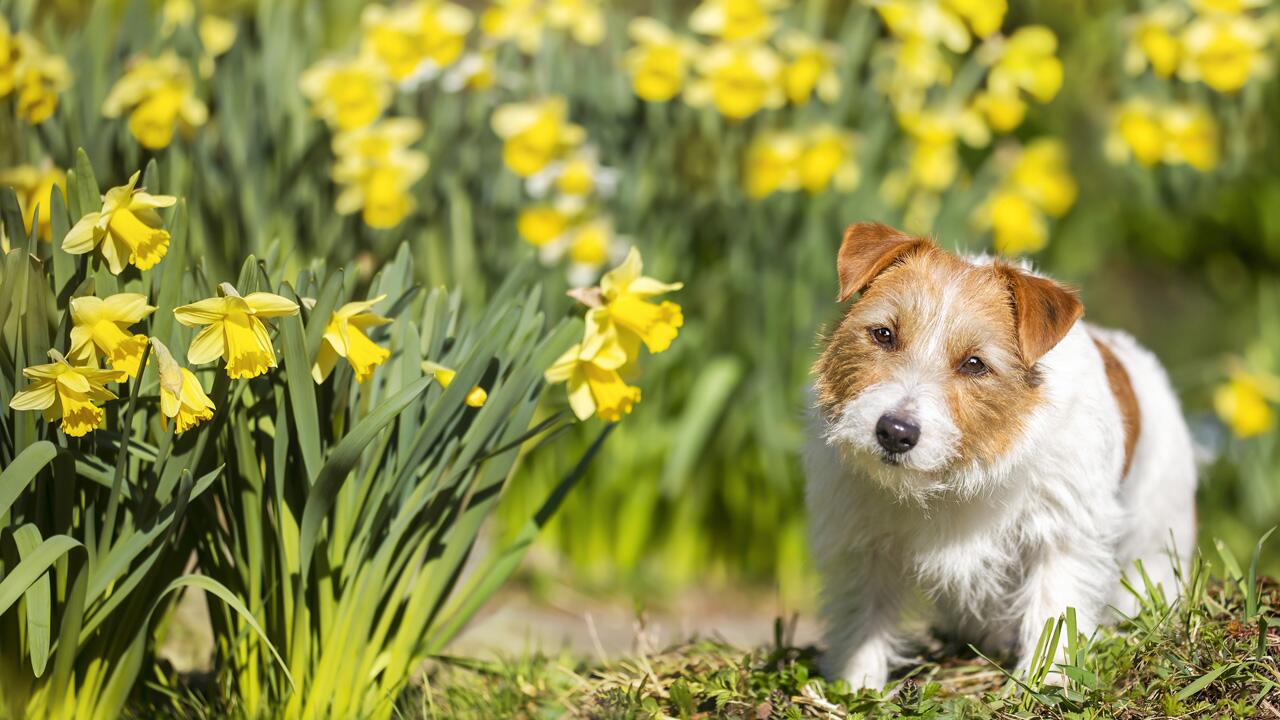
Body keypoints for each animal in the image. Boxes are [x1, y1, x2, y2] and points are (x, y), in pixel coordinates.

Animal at [808, 221, 1198, 686]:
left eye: (975, 364)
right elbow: (861, 618)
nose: (895, 432)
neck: (950, 481)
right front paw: (855, 684)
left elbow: (1054, 610)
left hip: (1155, 542)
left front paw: (1046, 682)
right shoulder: (863, 544)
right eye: (884, 334)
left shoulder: (1060, 533)